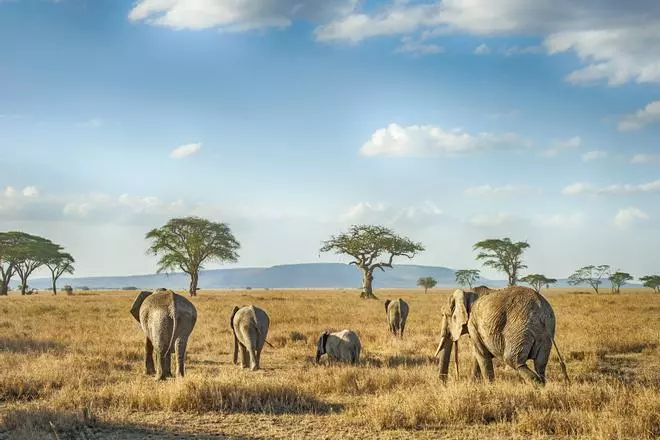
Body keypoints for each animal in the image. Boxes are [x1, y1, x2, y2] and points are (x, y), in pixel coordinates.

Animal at [434, 286, 569, 385]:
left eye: (444, 315)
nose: (443, 384)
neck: (467, 293)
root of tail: (542, 311)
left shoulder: (473, 323)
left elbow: (481, 354)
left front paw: (489, 387)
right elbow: (478, 355)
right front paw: (474, 385)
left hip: (520, 327)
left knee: (513, 360)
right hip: (546, 333)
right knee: (540, 364)